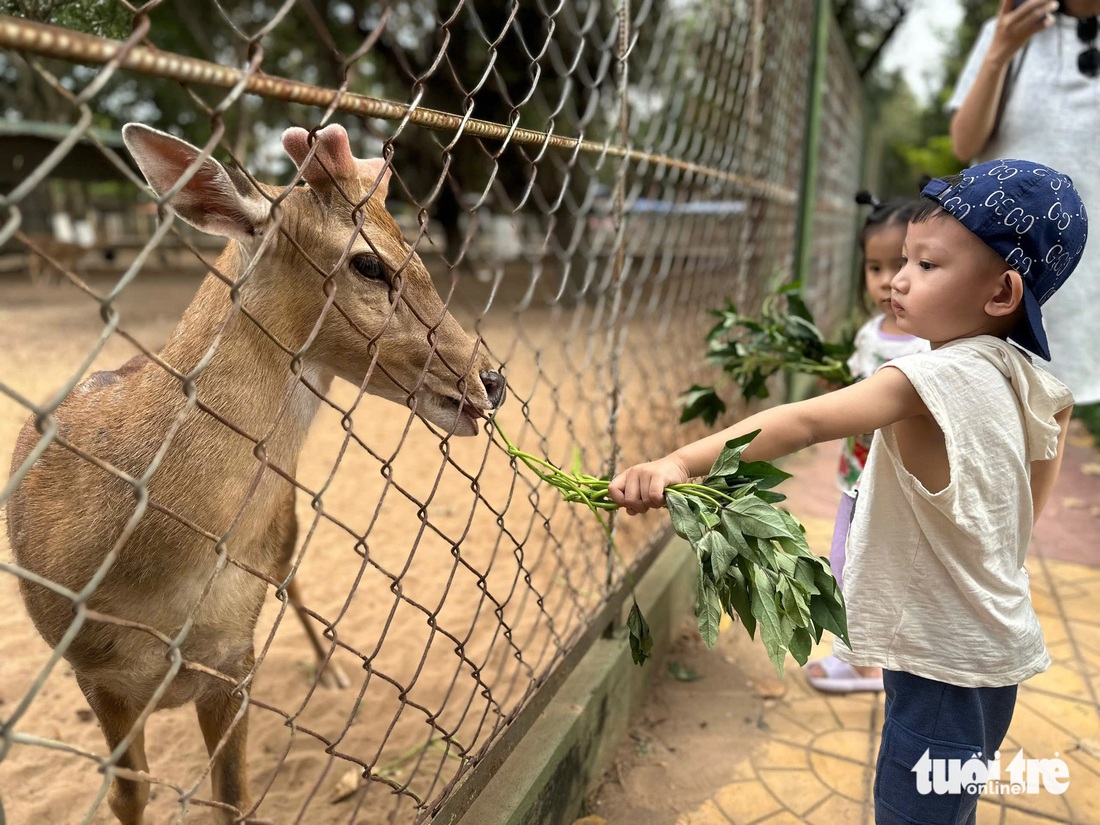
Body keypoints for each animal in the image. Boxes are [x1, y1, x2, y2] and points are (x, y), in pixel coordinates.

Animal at [5, 124, 506, 825]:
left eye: (415, 247)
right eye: (369, 263)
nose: (491, 379)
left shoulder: (234, 662)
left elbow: (234, 799)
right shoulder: (92, 673)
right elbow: (129, 795)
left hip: (287, 524)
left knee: (292, 583)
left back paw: (334, 670)